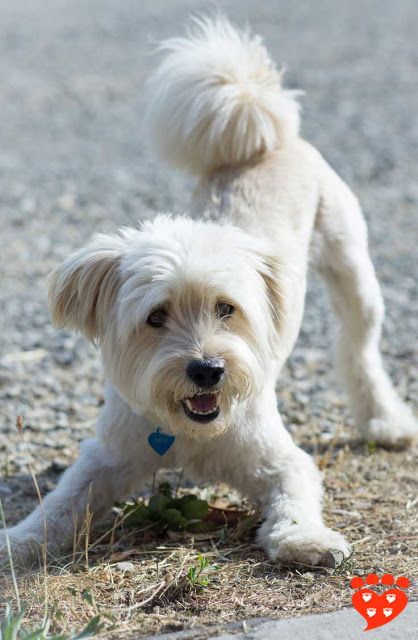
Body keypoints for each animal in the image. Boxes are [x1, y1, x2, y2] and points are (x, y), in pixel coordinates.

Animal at [1, 15, 416, 568]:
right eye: (156, 317)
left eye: (227, 309)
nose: (207, 369)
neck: (188, 431)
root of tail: (266, 139)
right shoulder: (108, 455)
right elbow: (61, 504)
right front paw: (19, 540)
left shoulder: (279, 458)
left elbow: (295, 496)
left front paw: (305, 539)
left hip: (353, 270)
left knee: (360, 351)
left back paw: (386, 422)